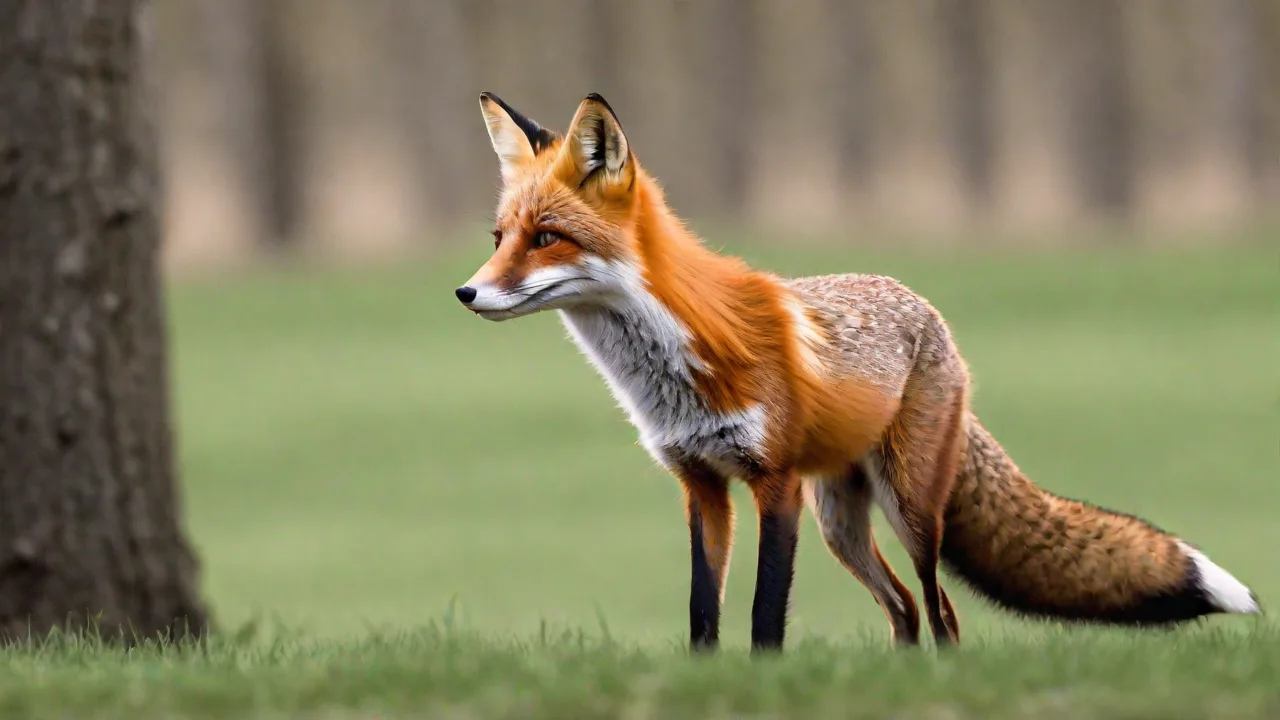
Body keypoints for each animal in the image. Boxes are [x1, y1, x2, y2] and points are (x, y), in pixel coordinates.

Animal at [455, 92, 1262, 653]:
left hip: (910, 507)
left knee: (941, 612)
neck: (672, 368)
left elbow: (764, 614)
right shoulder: (701, 485)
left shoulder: (774, 482)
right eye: (499, 239)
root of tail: (929, 314)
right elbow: (702, 613)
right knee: (903, 611)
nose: (466, 293)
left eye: (547, 238)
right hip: (842, 523)